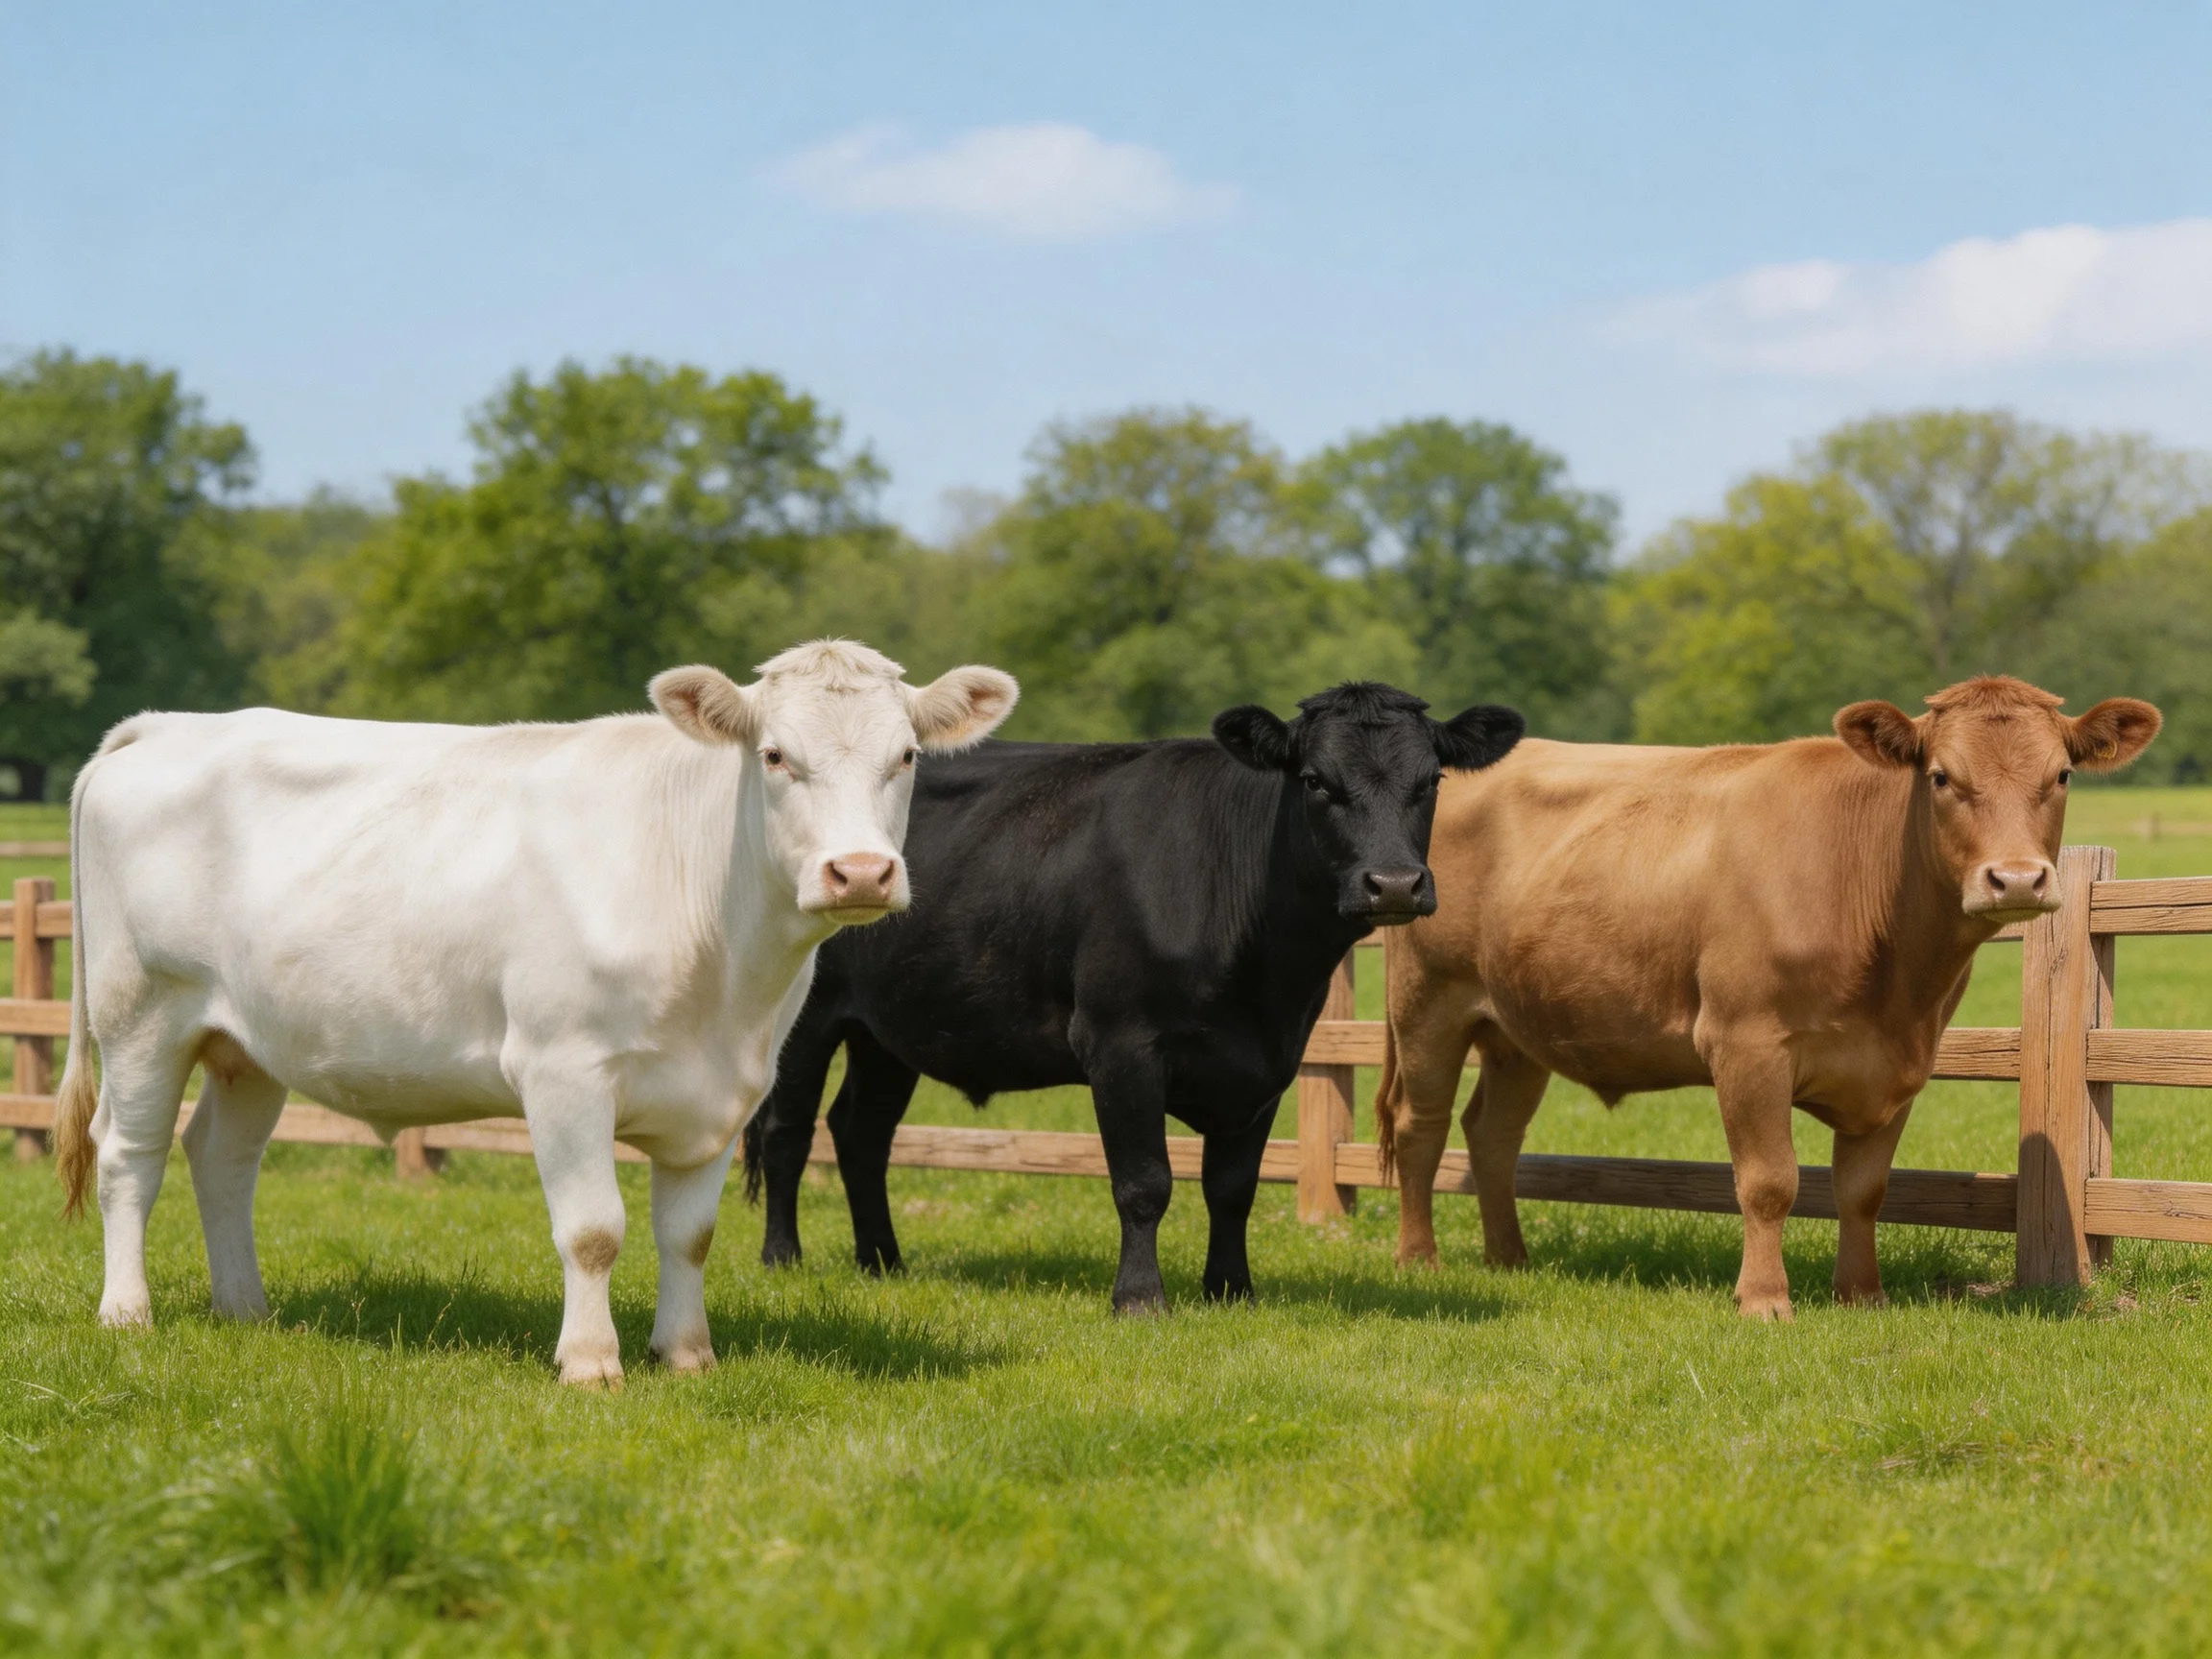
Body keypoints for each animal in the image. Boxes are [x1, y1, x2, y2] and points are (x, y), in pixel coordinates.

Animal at [52, 640, 1018, 1384]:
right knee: (129, 1156)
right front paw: (591, 1362)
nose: (860, 873)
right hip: (142, 1012)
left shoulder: (725, 1093)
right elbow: (592, 1231)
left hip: (245, 1041)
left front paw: (687, 1355)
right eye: (777, 756)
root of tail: (169, 724)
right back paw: (127, 1312)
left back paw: (246, 1309)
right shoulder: (563, 1070)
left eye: (906, 757)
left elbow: (690, 1236)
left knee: (221, 1158)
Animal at [742, 682, 1525, 1312]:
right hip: (807, 1017)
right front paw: (1141, 1298)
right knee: (789, 1130)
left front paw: (1231, 1290)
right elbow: (1145, 1182)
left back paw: (883, 1261)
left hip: (889, 1030)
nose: (1393, 884)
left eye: (1430, 780)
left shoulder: (1271, 1060)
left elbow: (1232, 1185)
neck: (1265, 976)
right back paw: (783, 1259)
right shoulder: (1121, 1043)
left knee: (861, 1131)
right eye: (1313, 779)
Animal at [1373, 676, 2161, 1319]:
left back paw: (1510, 1257)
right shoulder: (1745, 1044)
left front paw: (1862, 1294)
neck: (1895, 979)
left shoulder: (1900, 1065)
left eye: (2061, 775)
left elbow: (1864, 1188)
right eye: (1941, 776)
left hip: (1516, 1032)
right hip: (1428, 1004)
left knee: (1492, 1133)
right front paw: (1764, 1299)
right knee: (1421, 1126)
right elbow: (1769, 1180)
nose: (2018, 879)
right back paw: (1417, 1258)